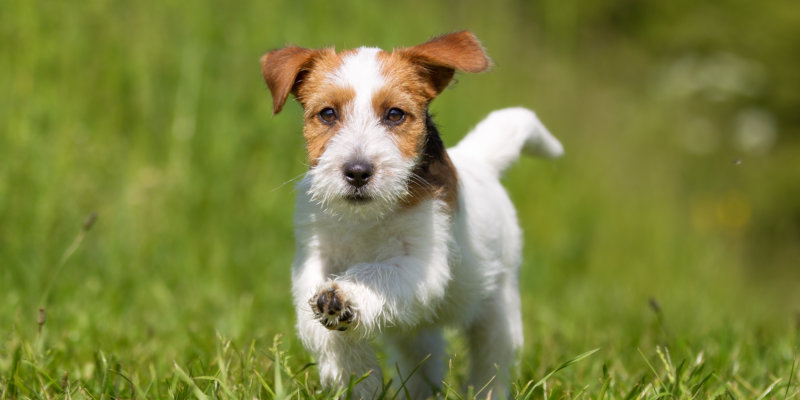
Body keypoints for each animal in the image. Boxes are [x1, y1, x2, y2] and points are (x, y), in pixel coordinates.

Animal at [262, 32, 564, 400]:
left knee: (492, 363)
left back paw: (485, 391)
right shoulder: (314, 257)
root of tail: (480, 159)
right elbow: (317, 326)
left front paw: (345, 296)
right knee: (421, 362)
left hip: (498, 308)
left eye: (395, 114)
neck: (367, 218)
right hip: (416, 334)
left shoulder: (421, 264)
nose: (358, 172)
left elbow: (376, 272)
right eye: (328, 114)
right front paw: (353, 374)